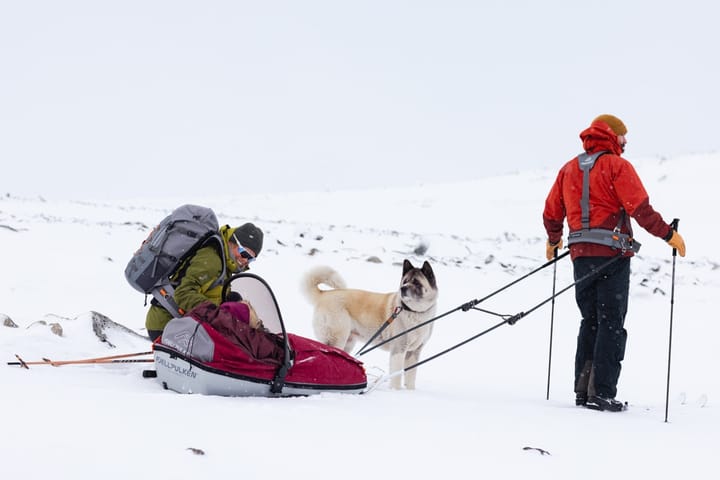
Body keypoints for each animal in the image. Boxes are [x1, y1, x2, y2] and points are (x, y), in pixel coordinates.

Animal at [300, 258, 436, 390]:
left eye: (416, 283)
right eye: (405, 282)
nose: (403, 289)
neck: (413, 311)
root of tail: (324, 294)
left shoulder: (414, 352)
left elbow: (410, 376)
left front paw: (410, 392)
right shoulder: (398, 350)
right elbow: (396, 376)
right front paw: (396, 391)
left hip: (348, 342)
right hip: (337, 338)